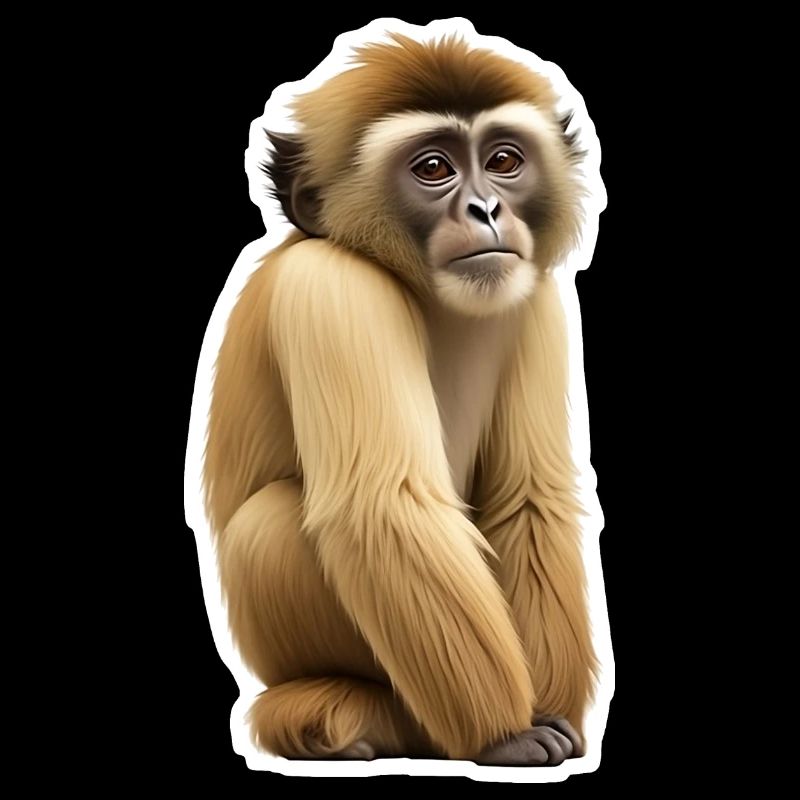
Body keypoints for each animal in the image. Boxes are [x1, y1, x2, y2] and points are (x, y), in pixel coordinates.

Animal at [203, 33, 599, 766]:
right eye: (434, 168)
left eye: (503, 162)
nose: (486, 209)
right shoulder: (329, 287)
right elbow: (385, 507)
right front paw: (506, 731)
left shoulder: (534, 298)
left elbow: (527, 498)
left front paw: (552, 710)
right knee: (274, 520)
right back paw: (334, 714)